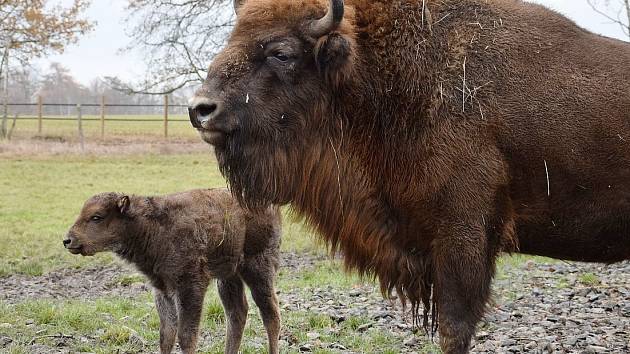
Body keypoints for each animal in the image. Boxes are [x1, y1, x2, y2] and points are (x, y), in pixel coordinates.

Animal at [63, 189, 282, 354]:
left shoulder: (189, 287)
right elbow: (166, 335)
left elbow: (186, 336)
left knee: (270, 314)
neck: (152, 226)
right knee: (237, 314)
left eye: (97, 217)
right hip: (228, 277)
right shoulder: (163, 289)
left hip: (258, 269)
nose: (68, 240)